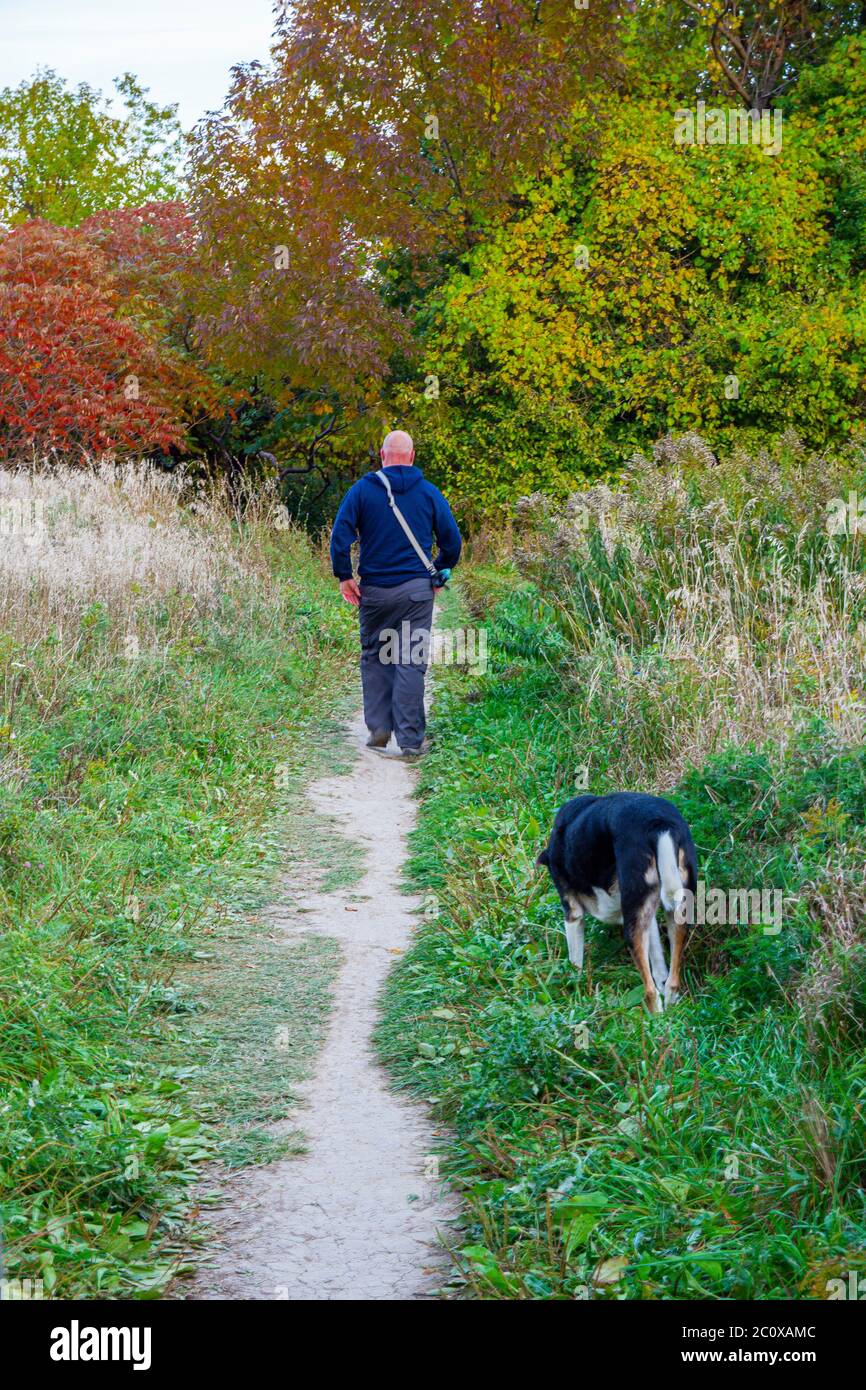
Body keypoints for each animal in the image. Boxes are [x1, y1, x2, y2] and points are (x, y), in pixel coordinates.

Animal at [539, 800, 700, 1017]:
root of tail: (657, 821)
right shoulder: (644, 916)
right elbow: (659, 964)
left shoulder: (573, 913)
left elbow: (575, 963)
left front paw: (576, 996)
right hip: (676, 910)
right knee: (672, 980)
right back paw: (668, 1011)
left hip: (631, 926)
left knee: (649, 989)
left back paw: (653, 1018)